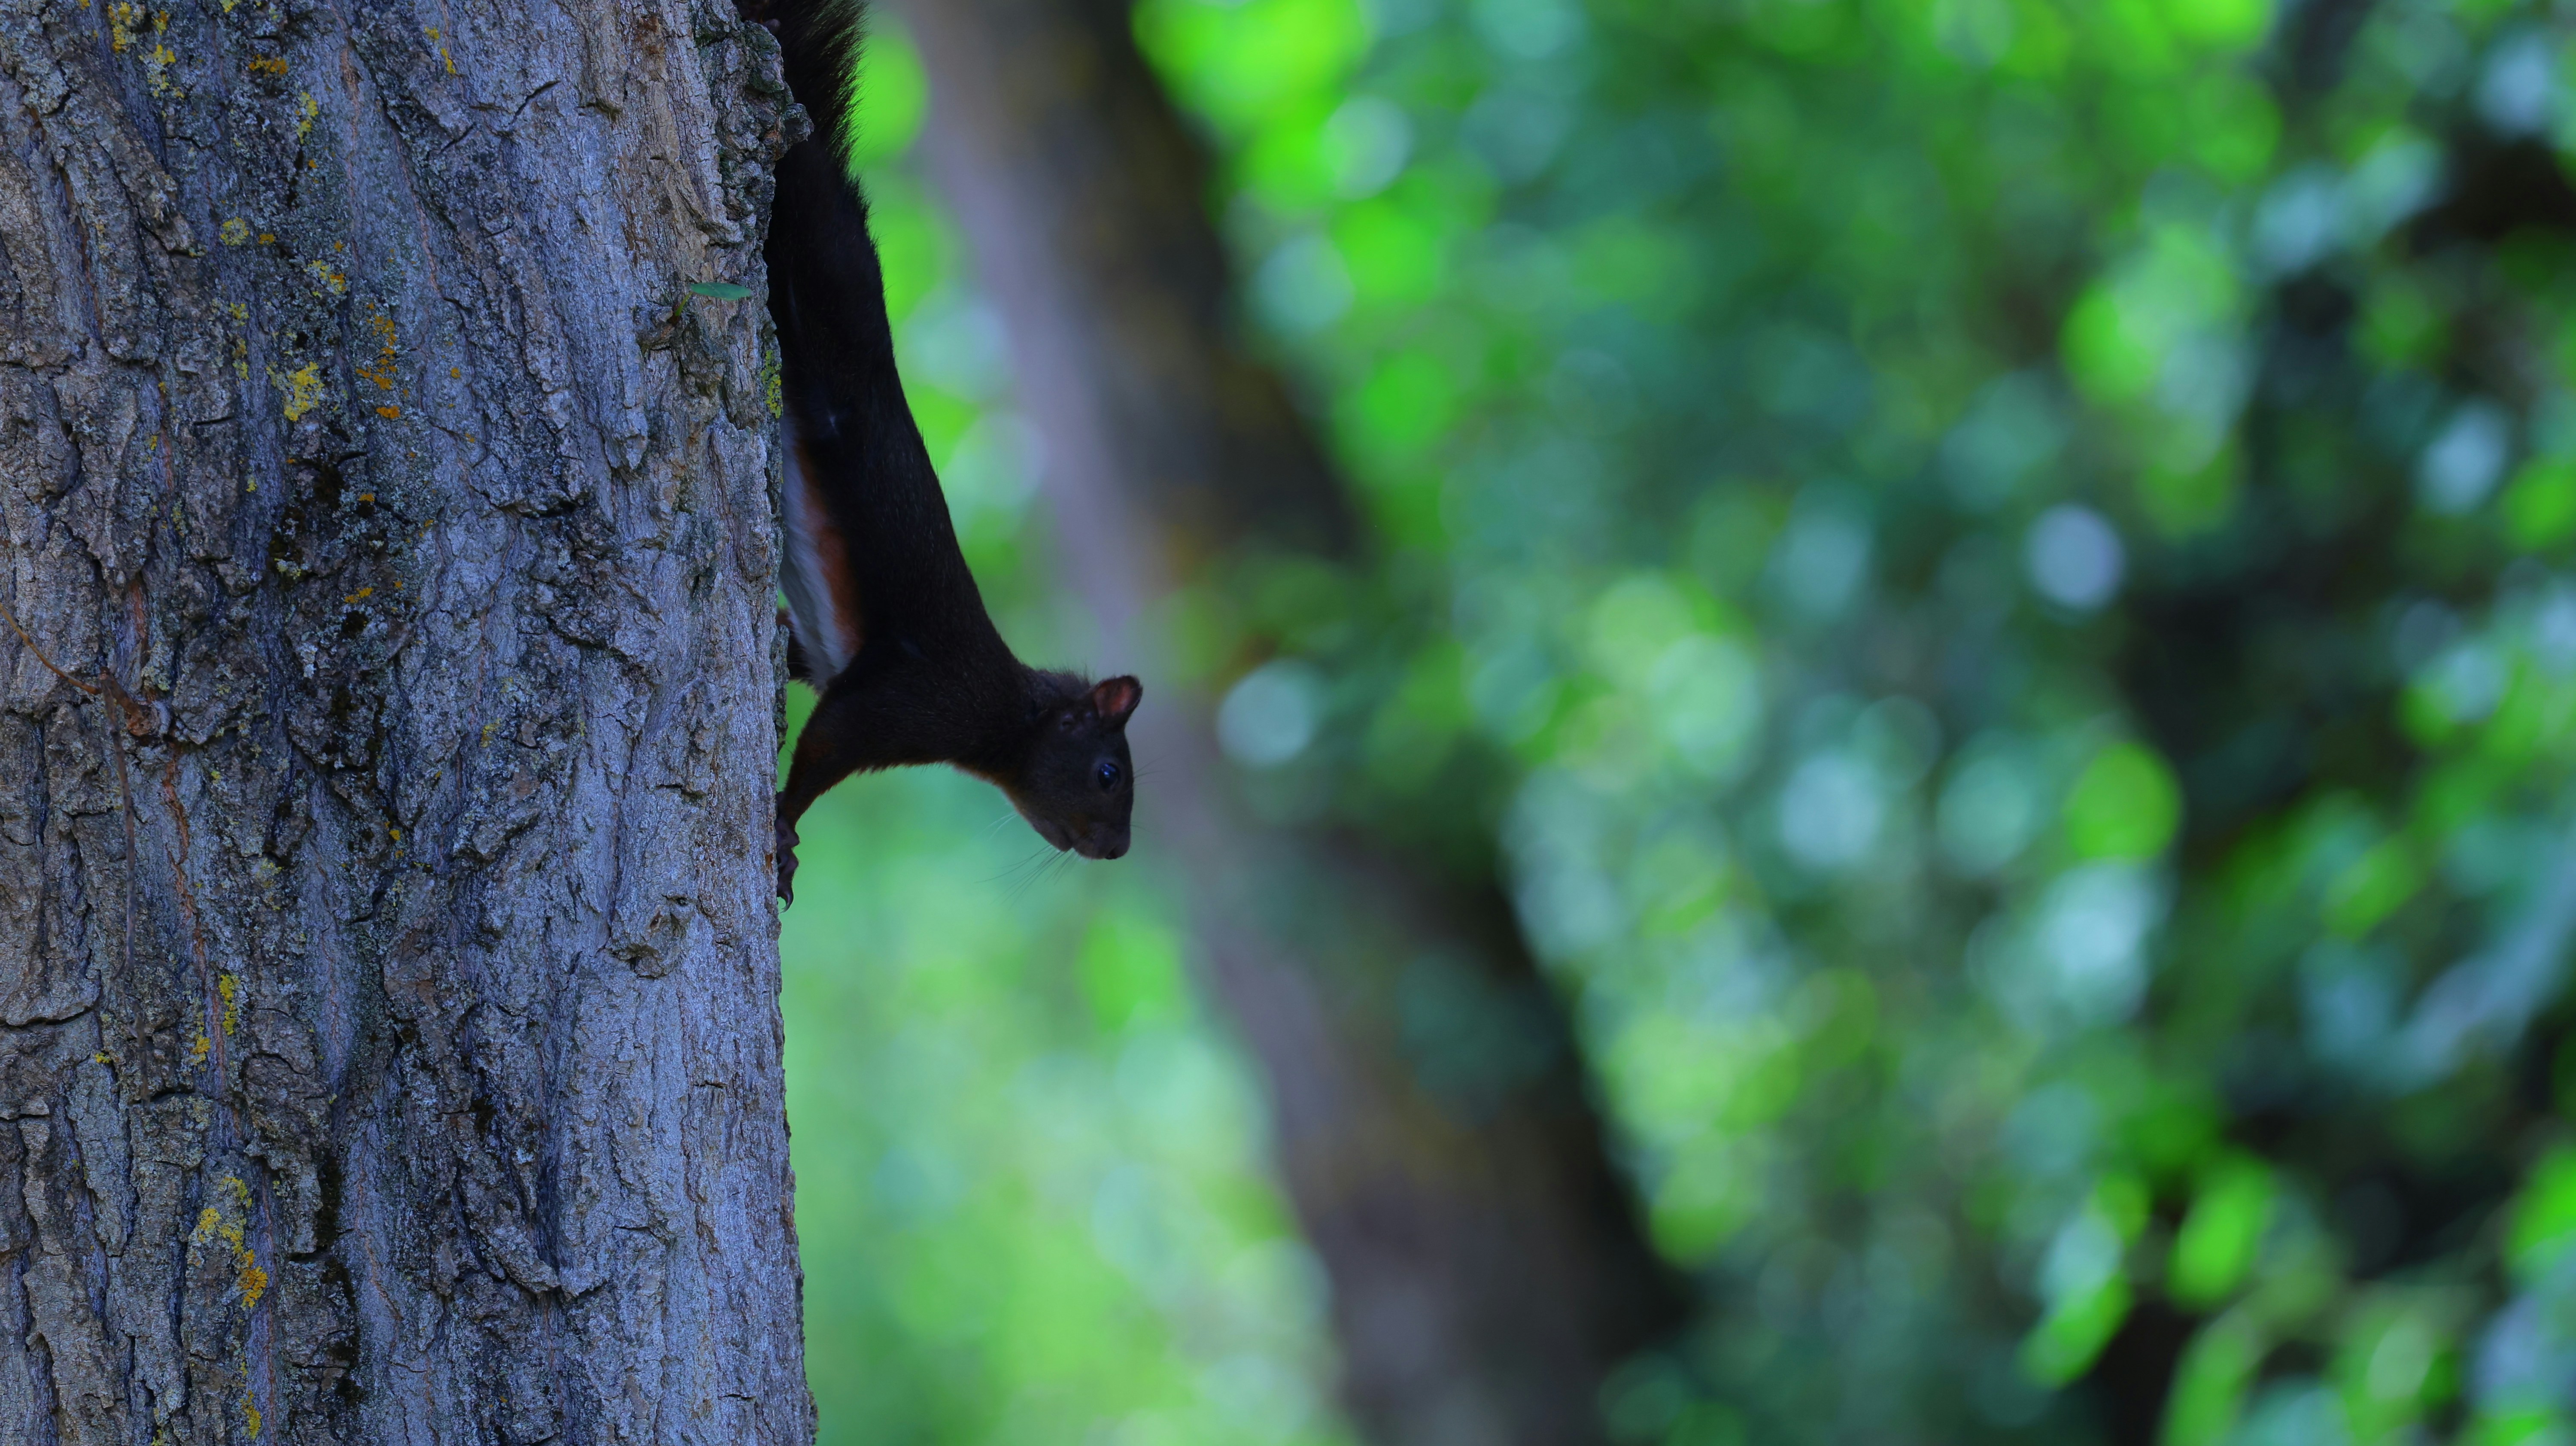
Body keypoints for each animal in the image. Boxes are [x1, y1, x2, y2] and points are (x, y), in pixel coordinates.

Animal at [742, 0, 1141, 902]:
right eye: (1108, 773)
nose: (1119, 850)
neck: (1006, 712)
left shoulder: (833, 661)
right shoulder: (919, 701)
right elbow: (826, 749)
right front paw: (781, 830)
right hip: (823, 281)